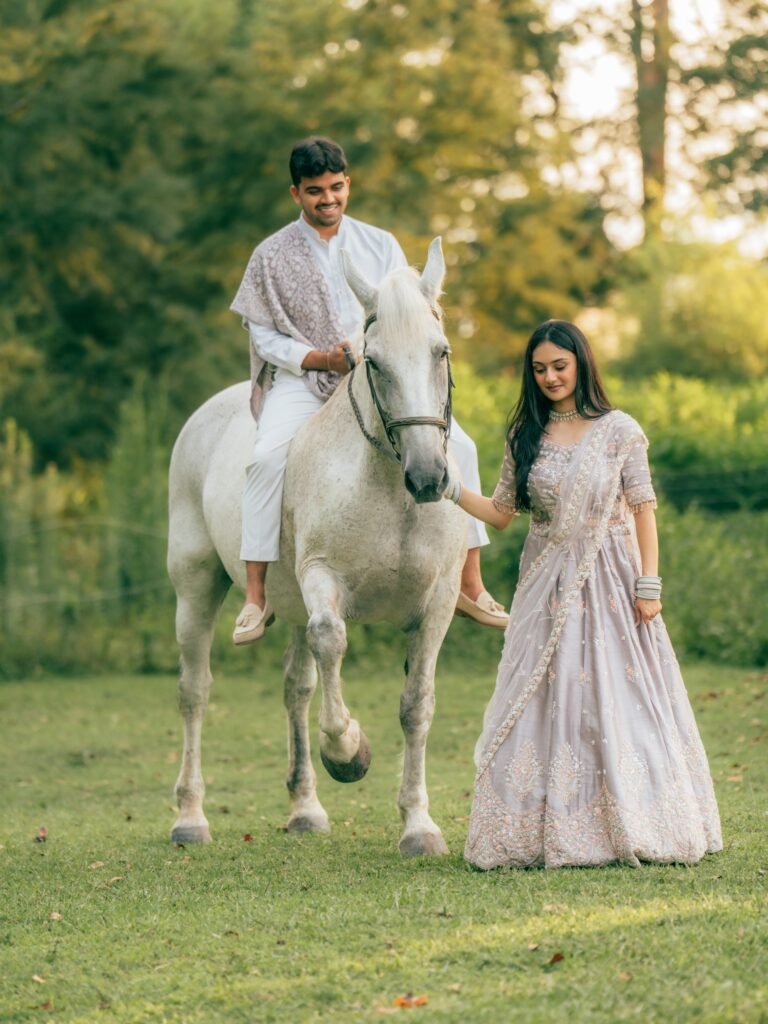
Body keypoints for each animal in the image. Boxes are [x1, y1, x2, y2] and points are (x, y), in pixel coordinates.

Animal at [166, 238, 467, 856]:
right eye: (373, 361)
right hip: (195, 586)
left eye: (441, 352)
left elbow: (416, 705)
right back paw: (190, 818)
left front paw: (418, 825)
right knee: (195, 691)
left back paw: (305, 808)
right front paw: (349, 751)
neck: (389, 489)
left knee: (296, 688)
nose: (428, 477)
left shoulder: (438, 602)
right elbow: (333, 642)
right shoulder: (322, 580)